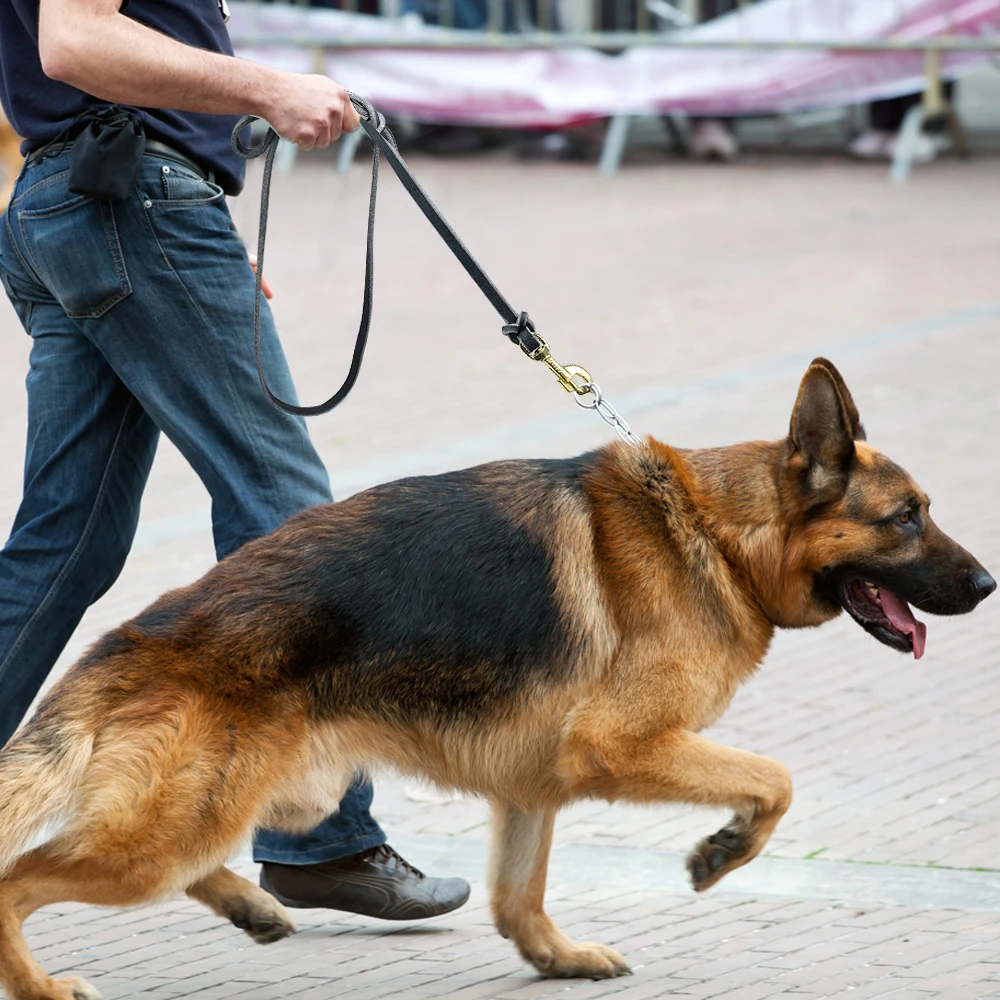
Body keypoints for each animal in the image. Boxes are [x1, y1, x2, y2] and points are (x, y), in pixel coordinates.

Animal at [0, 362, 992, 1000]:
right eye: (907, 519)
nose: (988, 585)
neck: (714, 532)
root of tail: (135, 635)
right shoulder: (620, 746)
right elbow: (776, 780)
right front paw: (723, 851)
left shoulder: (531, 787)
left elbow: (521, 898)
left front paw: (557, 959)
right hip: (179, 827)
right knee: (19, 880)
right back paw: (45, 987)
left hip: (271, 799)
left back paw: (249, 903)